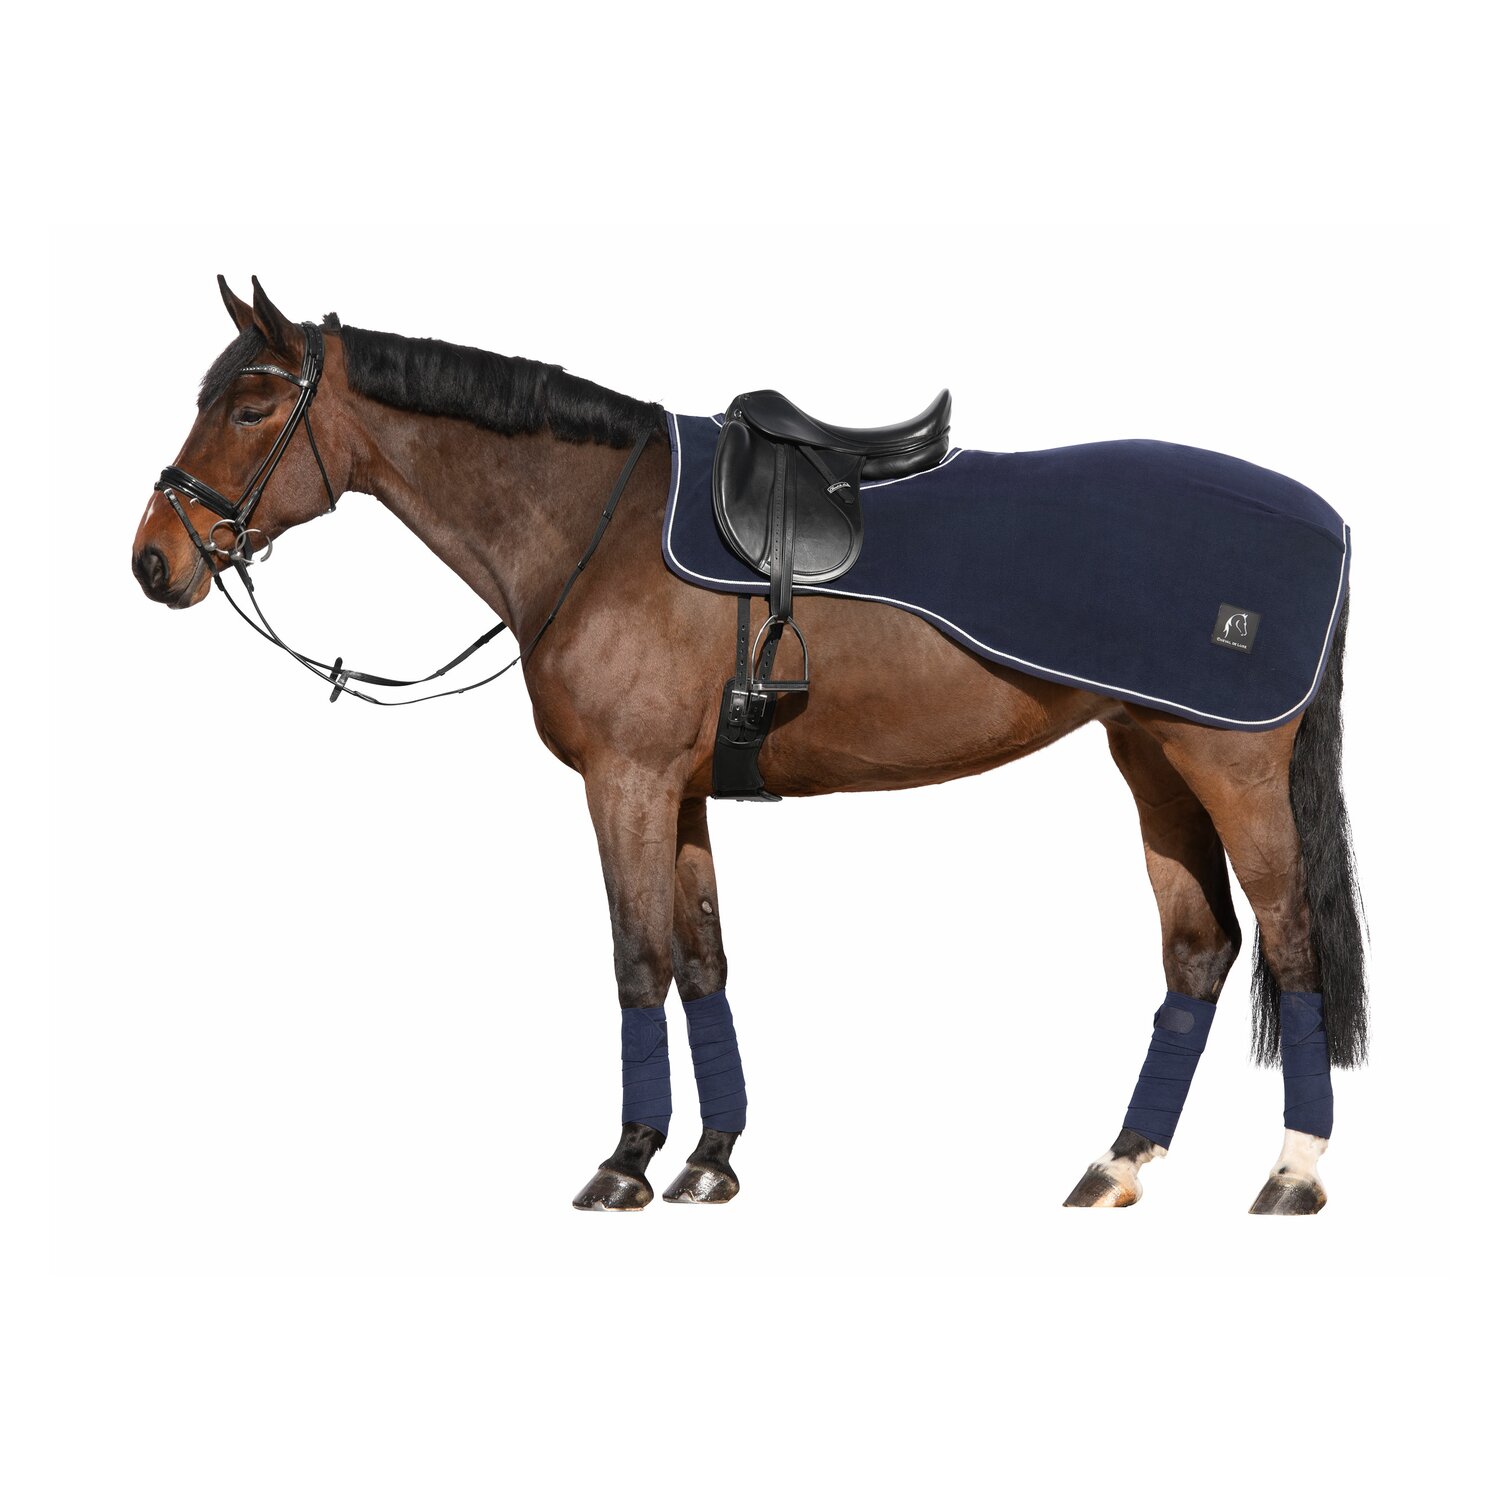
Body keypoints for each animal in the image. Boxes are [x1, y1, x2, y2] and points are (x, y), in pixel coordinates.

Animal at [131, 278, 1366, 1215]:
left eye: (250, 408)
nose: (154, 559)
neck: (600, 521)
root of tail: (1327, 521)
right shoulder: (679, 794)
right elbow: (703, 962)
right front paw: (709, 1161)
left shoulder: (625, 785)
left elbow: (637, 962)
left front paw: (625, 1163)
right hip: (1151, 760)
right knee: (1200, 950)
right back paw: (1117, 1164)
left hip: (1231, 769)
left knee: (1292, 945)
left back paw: (1293, 1176)